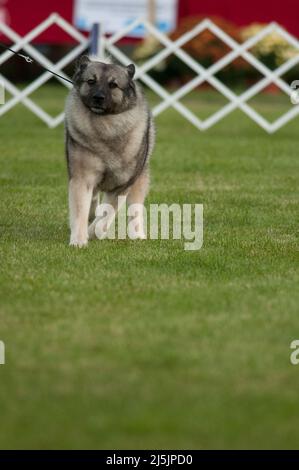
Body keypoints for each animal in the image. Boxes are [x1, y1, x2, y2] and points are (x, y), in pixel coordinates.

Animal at [65, 56, 155, 246]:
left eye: (113, 85)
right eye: (91, 81)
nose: (98, 97)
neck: (105, 126)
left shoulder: (122, 186)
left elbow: (106, 215)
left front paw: (92, 233)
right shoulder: (82, 178)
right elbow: (80, 210)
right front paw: (78, 240)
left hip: (139, 181)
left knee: (135, 210)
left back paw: (138, 235)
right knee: (92, 201)